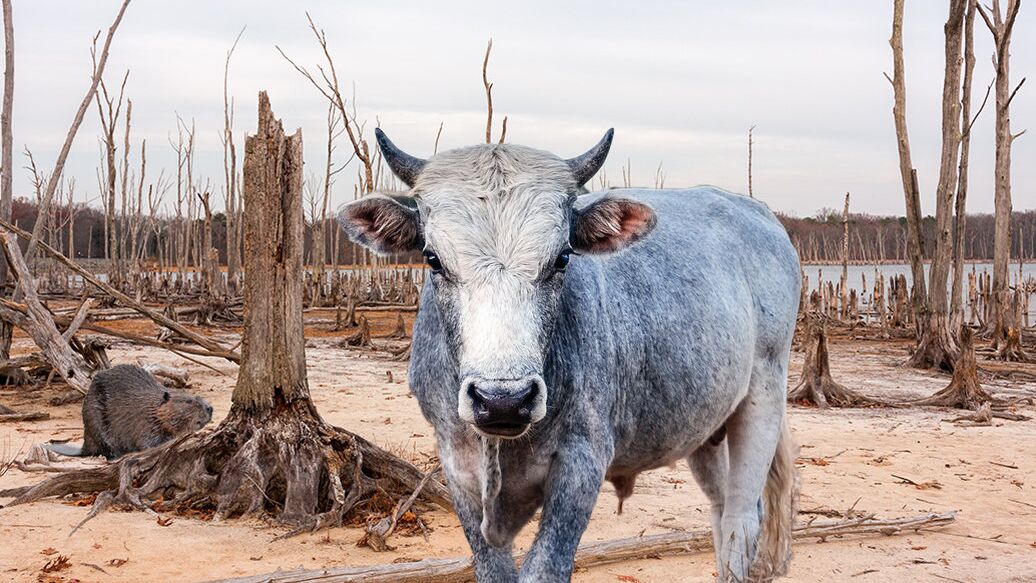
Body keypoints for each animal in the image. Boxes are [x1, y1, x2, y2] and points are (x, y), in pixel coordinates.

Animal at [48, 364, 212, 461]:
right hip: (96, 420)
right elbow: (150, 443)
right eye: (188, 401)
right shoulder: (145, 423)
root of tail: (84, 447)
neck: (153, 408)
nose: (210, 408)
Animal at [339, 129, 799, 579]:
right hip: (706, 429)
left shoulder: (581, 462)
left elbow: (545, 568)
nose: (503, 400)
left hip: (763, 397)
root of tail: (759, 213)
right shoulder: (457, 465)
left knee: (742, 519)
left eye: (562, 258)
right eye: (433, 259)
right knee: (721, 512)